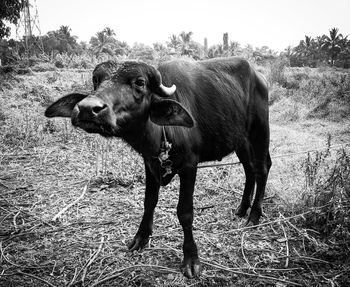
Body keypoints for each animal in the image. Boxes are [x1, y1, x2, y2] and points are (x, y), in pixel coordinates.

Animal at [45, 57, 272, 280]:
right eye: (96, 80)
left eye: (140, 82)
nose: (86, 108)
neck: (159, 134)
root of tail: (259, 77)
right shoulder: (150, 163)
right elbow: (149, 202)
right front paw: (141, 237)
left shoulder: (190, 166)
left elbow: (185, 212)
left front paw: (191, 258)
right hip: (240, 140)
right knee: (249, 169)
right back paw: (242, 208)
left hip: (260, 132)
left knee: (262, 168)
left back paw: (254, 215)